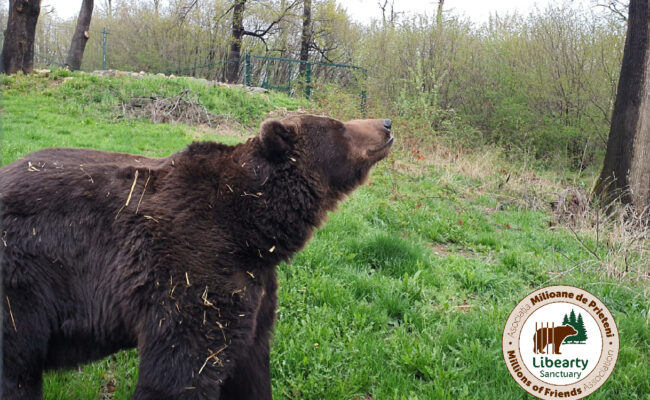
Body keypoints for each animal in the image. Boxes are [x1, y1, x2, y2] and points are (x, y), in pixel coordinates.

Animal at [0, 114, 392, 398]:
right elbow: (182, 368)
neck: (252, 227)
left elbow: (250, 363)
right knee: (17, 364)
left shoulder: (254, 287)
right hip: (26, 279)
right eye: (339, 126)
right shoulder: (190, 271)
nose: (386, 124)